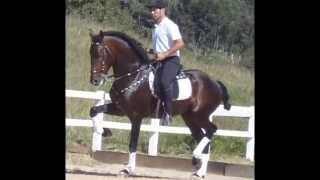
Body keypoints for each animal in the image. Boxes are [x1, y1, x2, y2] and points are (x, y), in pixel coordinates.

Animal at [89, 30, 231, 178]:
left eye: (100, 54)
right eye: (90, 53)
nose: (95, 80)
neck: (133, 75)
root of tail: (215, 83)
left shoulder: (136, 117)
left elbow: (132, 144)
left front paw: (128, 169)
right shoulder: (119, 108)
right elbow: (93, 110)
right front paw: (104, 131)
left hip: (200, 115)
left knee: (212, 129)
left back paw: (196, 157)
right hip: (190, 118)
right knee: (203, 137)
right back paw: (199, 172)